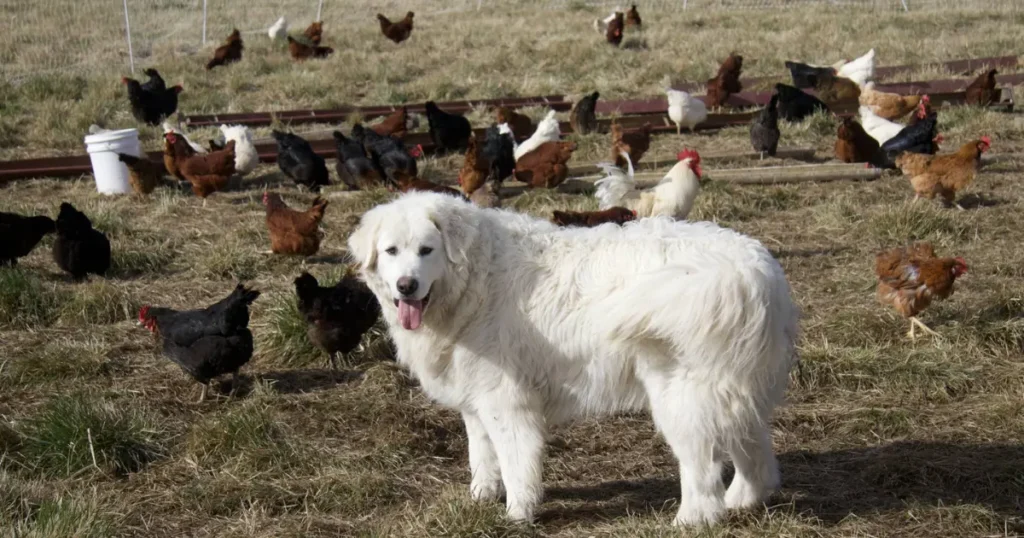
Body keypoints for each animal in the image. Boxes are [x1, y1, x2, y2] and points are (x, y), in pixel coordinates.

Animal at [348, 191, 794, 524]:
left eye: (427, 250)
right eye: (391, 251)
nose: (406, 286)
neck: (476, 279)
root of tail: (751, 269)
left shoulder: (506, 402)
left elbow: (515, 462)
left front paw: (517, 514)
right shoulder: (475, 401)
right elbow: (482, 456)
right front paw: (480, 498)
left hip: (681, 400)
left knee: (702, 469)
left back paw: (691, 519)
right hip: (736, 392)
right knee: (755, 454)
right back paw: (743, 500)